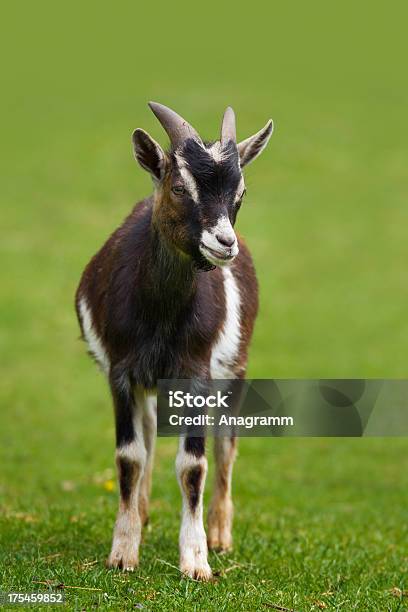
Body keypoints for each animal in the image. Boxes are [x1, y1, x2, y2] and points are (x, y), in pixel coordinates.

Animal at [76, 103, 274, 580]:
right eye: (180, 186)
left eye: (240, 192)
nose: (224, 243)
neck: (160, 318)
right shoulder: (121, 373)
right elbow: (129, 455)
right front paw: (123, 551)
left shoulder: (196, 374)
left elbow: (193, 465)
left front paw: (197, 559)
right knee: (148, 432)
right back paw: (143, 513)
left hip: (234, 372)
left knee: (226, 443)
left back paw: (220, 533)